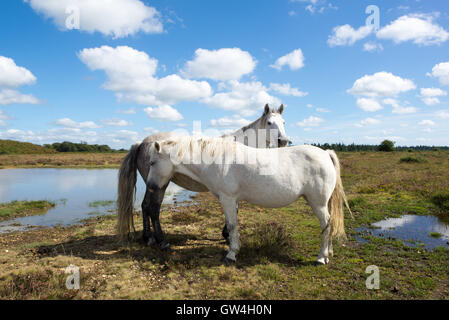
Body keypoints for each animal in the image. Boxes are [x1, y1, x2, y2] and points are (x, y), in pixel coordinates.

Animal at [140, 136, 350, 264]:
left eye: (153, 162)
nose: (150, 186)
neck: (217, 160)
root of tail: (325, 153)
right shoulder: (230, 201)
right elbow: (231, 225)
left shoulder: (227, 198)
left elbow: (232, 226)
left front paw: (231, 254)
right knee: (329, 224)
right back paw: (328, 253)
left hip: (318, 203)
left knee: (326, 225)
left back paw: (321, 258)